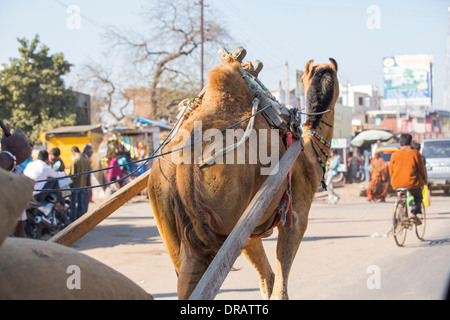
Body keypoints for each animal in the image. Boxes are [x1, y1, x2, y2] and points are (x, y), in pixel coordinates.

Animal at [148, 53, 338, 300]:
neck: (309, 152)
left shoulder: (248, 230)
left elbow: (268, 279)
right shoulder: (295, 215)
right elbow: (279, 288)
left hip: (170, 216)